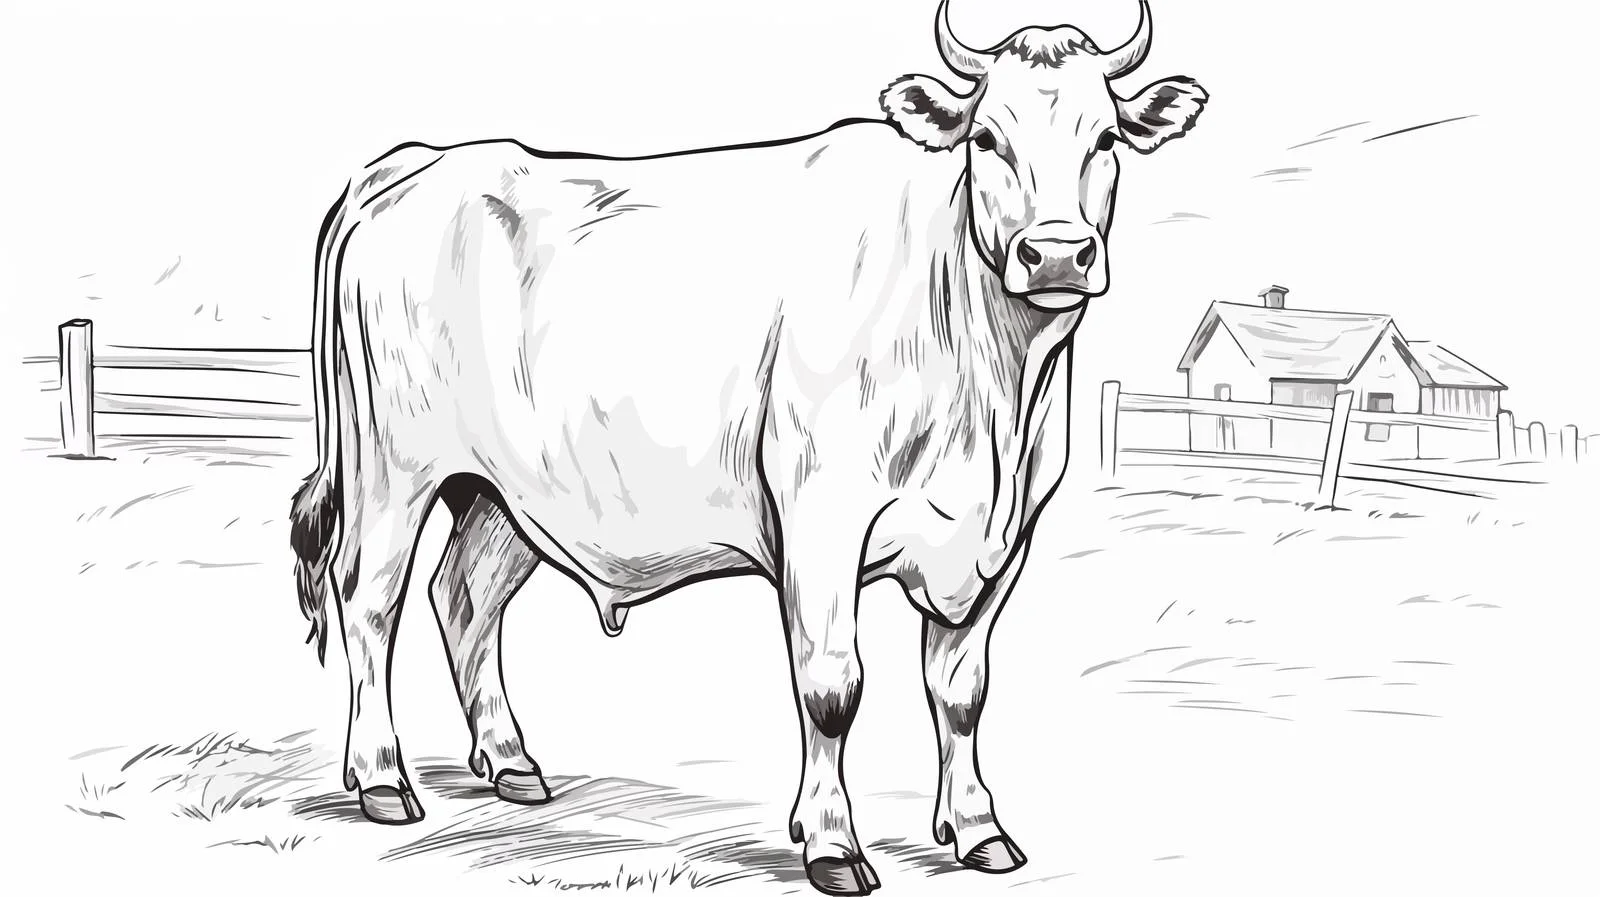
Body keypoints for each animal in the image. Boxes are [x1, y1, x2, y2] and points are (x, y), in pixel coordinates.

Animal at [288, 2, 1204, 893]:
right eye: (986, 138)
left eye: (1106, 139)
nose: (1056, 254)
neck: (995, 393)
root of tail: (414, 165)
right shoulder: (821, 512)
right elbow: (833, 685)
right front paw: (832, 845)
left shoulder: (1004, 539)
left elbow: (961, 692)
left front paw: (978, 830)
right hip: (394, 469)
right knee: (370, 599)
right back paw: (383, 779)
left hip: (504, 492)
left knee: (465, 598)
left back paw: (512, 762)